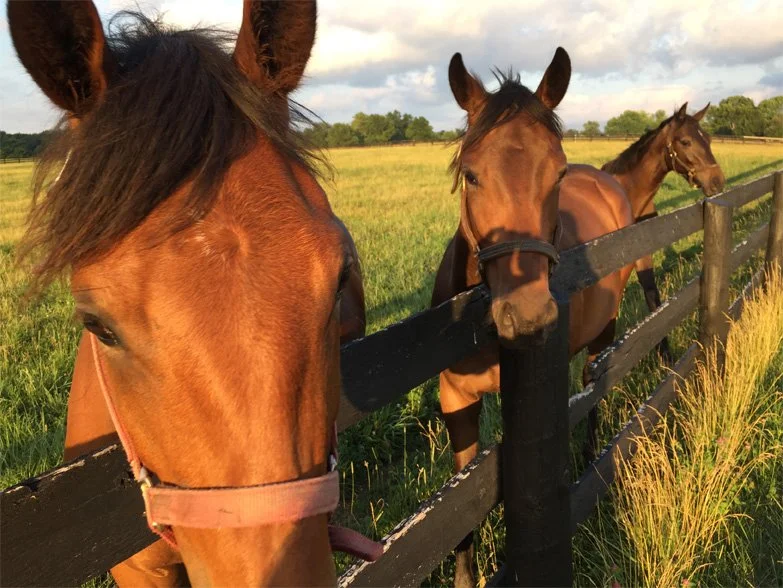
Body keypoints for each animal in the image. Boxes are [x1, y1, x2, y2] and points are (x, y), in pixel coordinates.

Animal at [431, 48, 635, 587]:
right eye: (472, 174)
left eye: (557, 175)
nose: (526, 315)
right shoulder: (455, 400)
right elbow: (460, 504)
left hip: (604, 328)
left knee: (592, 386)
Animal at [602, 103, 725, 361]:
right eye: (686, 141)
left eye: (708, 138)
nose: (717, 181)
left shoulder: (642, 253)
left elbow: (653, 299)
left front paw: (665, 358)